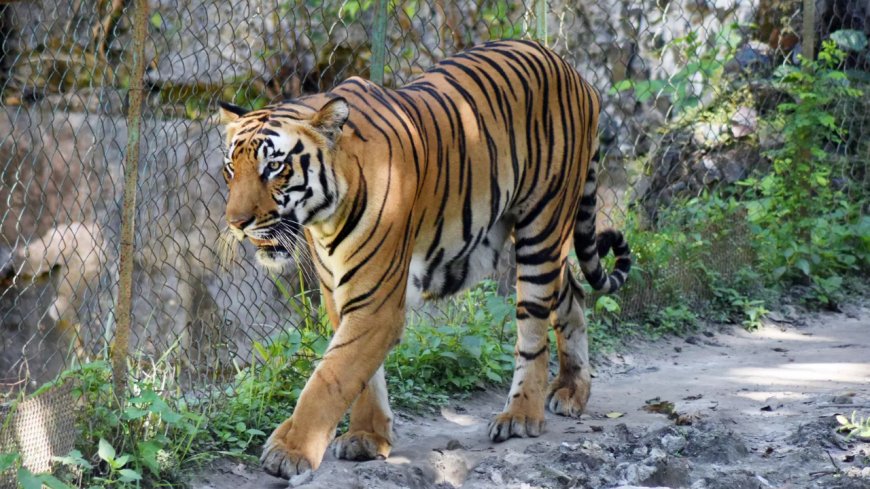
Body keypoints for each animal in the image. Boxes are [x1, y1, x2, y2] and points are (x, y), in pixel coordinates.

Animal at [217, 39, 631, 479]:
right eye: (231, 169)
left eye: (274, 167)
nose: (236, 223)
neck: (325, 218)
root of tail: (575, 73)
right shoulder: (339, 293)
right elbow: (360, 375)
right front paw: (367, 437)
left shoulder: (376, 302)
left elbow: (330, 377)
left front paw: (289, 451)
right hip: (541, 236)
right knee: (572, 294)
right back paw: (572, 390)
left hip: (543, 224)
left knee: (533, 332)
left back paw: (521, 416)